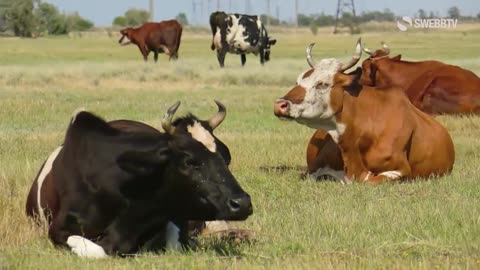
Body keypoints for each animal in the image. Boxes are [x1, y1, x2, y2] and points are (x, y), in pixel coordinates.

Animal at [26, 101, 253, 258]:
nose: (242, 203)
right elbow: (99, 251)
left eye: (225, 158)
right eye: (189, 161)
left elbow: (175, 244)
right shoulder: (58, 229)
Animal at [274, 39, 454, 184]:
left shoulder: (400, 169)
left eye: (322, 84)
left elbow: (369, 180)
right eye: (298, 81)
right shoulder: (312, 169)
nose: (280, 104)